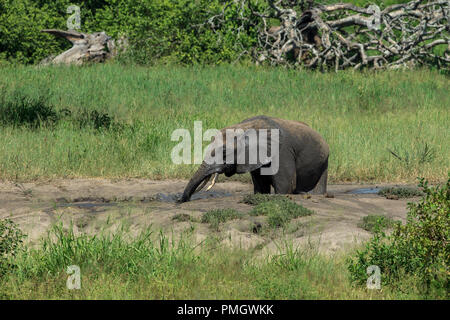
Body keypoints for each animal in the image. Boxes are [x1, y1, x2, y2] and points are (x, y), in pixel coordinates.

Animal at [180, 115, 330, 202]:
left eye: (224, 152)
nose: (179, 201)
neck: (244, 127)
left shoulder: (282, 152)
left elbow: (286, 186)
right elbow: (261, 187)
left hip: (324, 161)